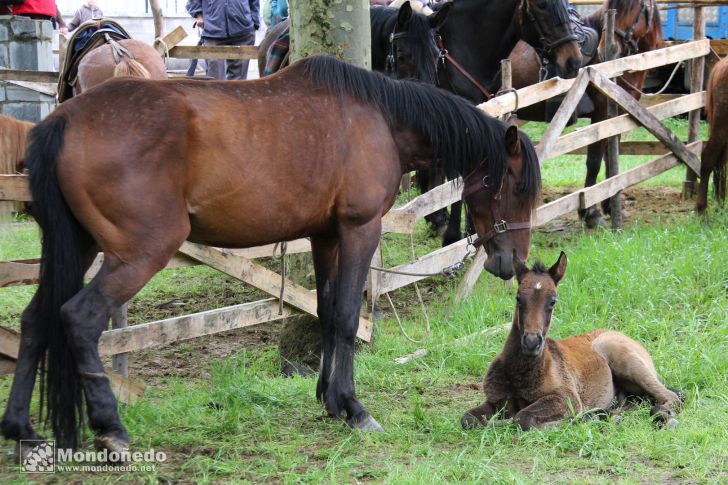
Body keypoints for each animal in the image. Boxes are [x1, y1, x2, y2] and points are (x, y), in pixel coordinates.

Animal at [2, 56, 544, 454]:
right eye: (516, 186)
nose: (511, 263)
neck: (380, 120)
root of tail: (63, 119)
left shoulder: (325, 236)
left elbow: (326, 313)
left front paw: (330, 401)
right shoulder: (359, 231)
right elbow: (347, 318)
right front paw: (354, 408)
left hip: (79, 246)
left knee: (35, 321)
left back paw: (23, 432)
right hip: (139, 253)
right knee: (79, 318)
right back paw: (110, 427)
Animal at [460, 251, 684, 430]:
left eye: (552, 301)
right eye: (518, 298)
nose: (531, 342)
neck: (520, 374)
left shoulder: (566, 398)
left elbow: (523, 418)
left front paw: (576, 420)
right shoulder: (496, 401)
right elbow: (468, 419)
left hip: (626, 361)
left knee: (670, 397)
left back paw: (660, 415)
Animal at [510, 0, 664, 227]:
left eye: (635, 5)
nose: (607, 49)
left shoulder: (618, 115)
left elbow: (611, 157)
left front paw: (611, 206)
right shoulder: (600, 114)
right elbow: (594, 161)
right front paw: (591, 213)